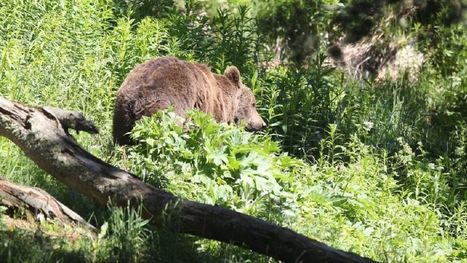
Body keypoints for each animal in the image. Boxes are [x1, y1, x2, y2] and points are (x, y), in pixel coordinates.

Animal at [112, 56, 266, 145]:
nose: (263, 124)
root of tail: (136, 98)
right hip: (169, 108)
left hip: (121, 113)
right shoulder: (210, 112)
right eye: (254, 104)